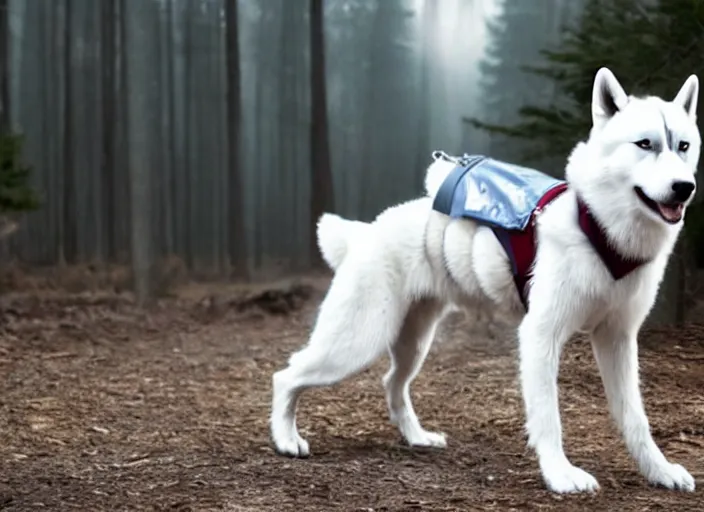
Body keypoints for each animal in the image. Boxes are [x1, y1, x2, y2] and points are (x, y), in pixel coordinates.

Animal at [268, 67, 700, 492]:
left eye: (683, 146)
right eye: (644, 144)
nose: (685, 188)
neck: (599, 227)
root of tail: (365, 232)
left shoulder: (618, 340)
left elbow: (636, 418)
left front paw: (658, 470)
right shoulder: (541, 336)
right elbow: (548, 416)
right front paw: (560, 475)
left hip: (413, 342)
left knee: (393, 384)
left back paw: (416, 438)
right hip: (357, 341)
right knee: (286, 375)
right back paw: (286, 439)